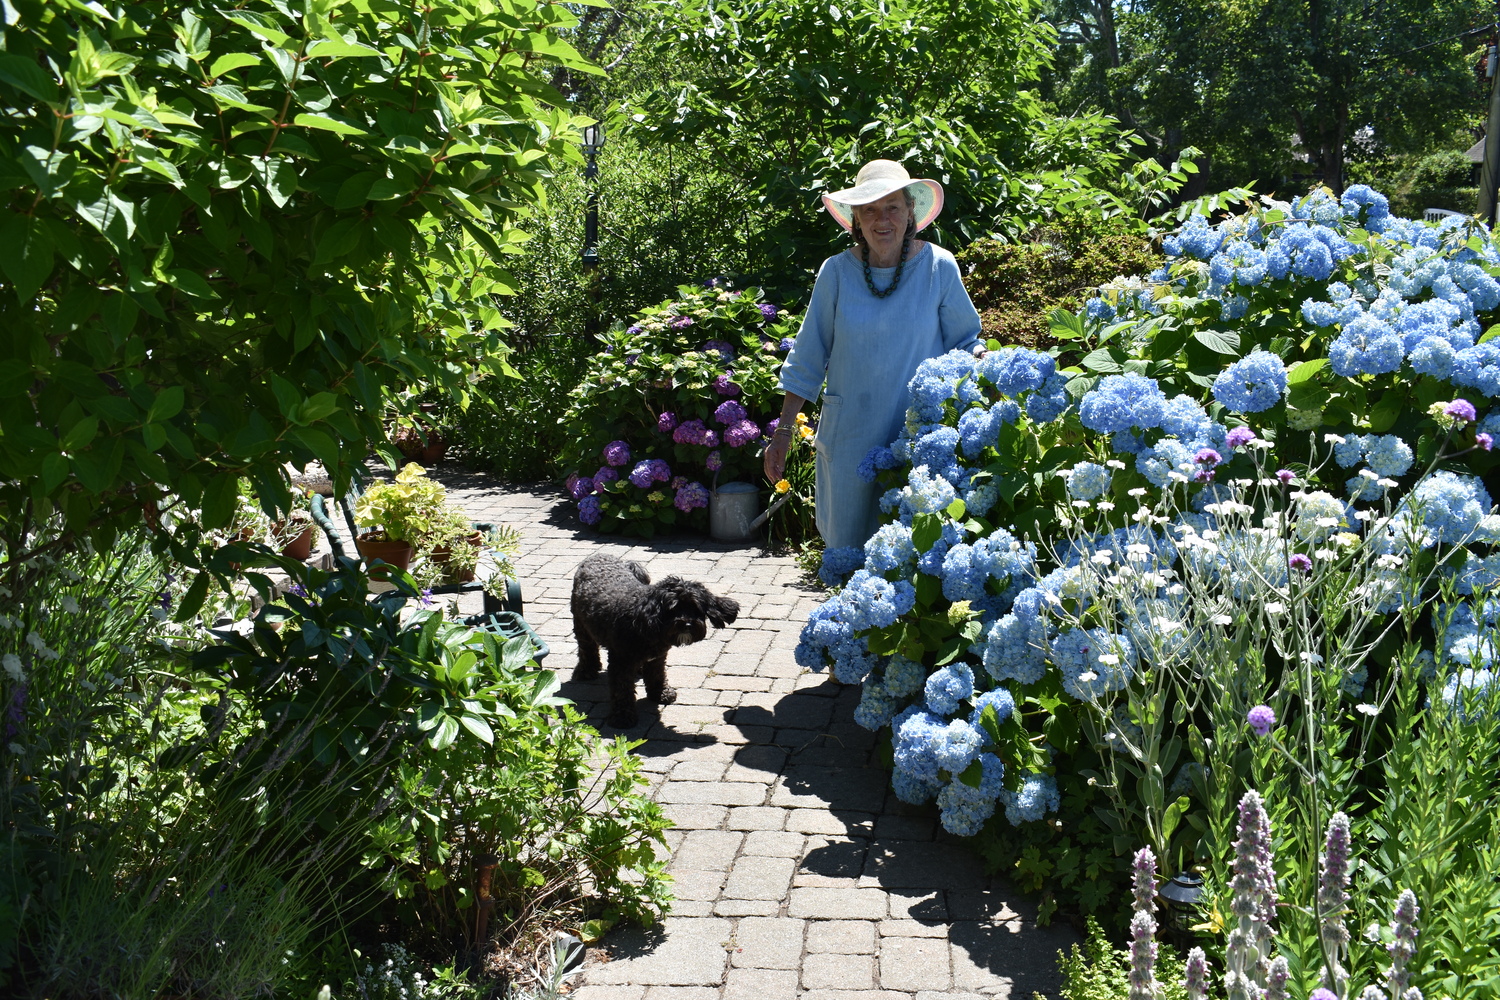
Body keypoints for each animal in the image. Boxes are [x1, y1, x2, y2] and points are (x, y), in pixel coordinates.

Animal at [570, 554, 741, 728]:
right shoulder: (621, 662)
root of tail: (600, 555)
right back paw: (586, 671)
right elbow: (622, 690)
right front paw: (622, 717)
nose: (687, 624)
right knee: (587, 648)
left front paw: (660, 693)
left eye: (695, 608)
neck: (647, 621)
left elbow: (657, 675)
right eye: (673, 609)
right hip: (581, 625)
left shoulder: (657, 657)